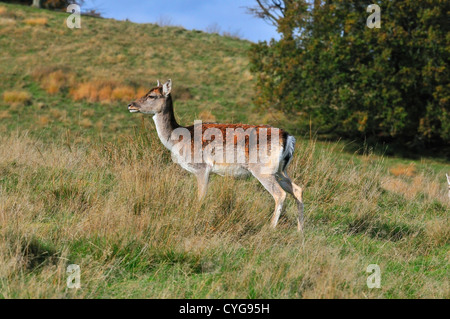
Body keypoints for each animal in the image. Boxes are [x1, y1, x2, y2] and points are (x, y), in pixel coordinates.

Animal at [128, 79, 304, 231]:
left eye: (152, 95)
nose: (130, 105)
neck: (177, 139)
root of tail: (288, 137)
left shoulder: (201, 168)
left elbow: (200, 196)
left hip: (263, 170)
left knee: (280, 194)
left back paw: (270, 228)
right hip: (281, 170)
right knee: (297, 189)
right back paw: (300, 230)